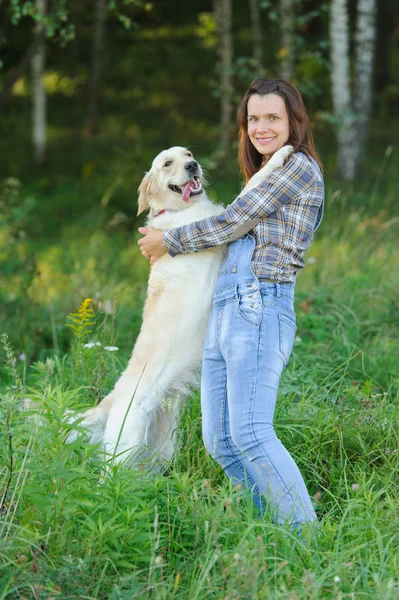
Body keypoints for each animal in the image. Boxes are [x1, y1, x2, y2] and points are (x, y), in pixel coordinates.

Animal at [69, 144, 294, 468]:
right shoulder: (223, 222)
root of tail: (111, 399)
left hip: (160, 451)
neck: (179, 210)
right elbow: (254, 184)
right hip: (124, 446)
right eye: (167, 164)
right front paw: (282, 153)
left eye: (187, 154)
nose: (192, 166)